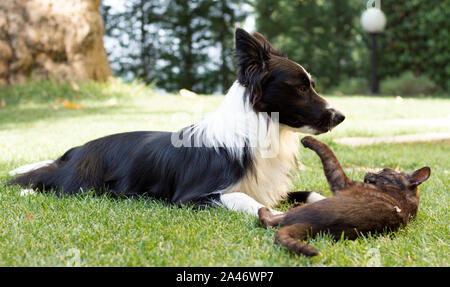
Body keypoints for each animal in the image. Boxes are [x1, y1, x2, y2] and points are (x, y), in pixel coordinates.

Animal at [7, 28, 344, 216]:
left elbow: (308, 194)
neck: (258, 131)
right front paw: (277, 216)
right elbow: (245, 200)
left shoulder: (268, 186)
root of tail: (78, 149)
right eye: (301, 89)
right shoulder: (192, 197)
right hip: (83, 184)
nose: (340, 116)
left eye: (311, 85)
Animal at [258, 136, 430, 258]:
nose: (367, 173)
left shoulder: (342, 182)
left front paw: (308, 140)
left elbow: (328, 153)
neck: (404, 198)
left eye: (383, 170)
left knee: (268, 218)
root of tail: (314, 226)